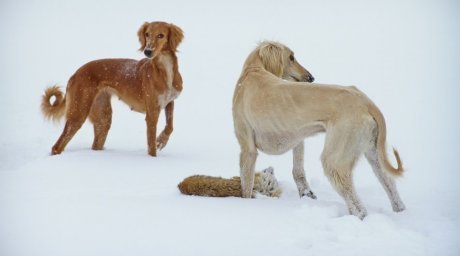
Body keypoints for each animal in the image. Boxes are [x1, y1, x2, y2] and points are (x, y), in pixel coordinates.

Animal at [40, 21, 183, 156]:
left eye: (161, 35)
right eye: (147, 34)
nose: (147, 51)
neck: (165, 69)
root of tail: (75, 73)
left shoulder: (169, 102)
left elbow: (170, 126)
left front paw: (161, 140)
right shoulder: (152, 113)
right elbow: (151, 146)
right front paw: (153, 157)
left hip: (103, 117)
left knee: (95, 144)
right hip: (78, 112)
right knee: (57, 146)